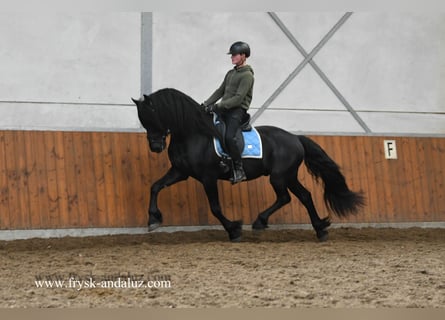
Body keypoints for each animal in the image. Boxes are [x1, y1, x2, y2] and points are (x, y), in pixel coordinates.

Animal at [130, 87, 362, 240]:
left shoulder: (208, 177)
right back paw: (320, 229)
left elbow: (215, 207)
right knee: (304, 196)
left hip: (279, 176)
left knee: (286, 197)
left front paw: (233, 229)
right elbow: (155, 186)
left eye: (153, 116)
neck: (193, 133)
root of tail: (295, 138)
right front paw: (153, 220)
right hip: (288, 176)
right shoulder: (180, 171)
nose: (155, 147)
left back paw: (261, 221)